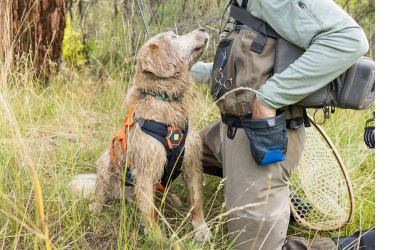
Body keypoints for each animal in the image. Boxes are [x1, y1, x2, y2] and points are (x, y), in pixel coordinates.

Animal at [82, 28, 211, 241]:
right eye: (174, 36)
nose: (202, 29)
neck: (165, 99)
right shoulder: (146, 169)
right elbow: (149, 210)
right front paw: (157, 238)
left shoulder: (192, 162)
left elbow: (197, 200)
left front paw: (201, 228)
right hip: (105, 160)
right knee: (101, 191)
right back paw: (96, 206)